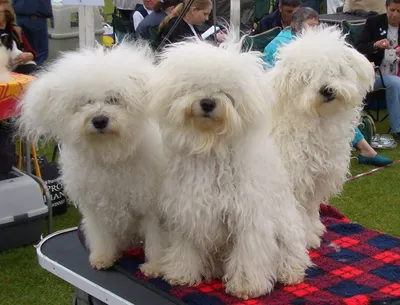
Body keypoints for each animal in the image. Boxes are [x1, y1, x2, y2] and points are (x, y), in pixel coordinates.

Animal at [18, 42, 165, 268]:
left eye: (114, 98)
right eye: (84, 102)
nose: (99, 120)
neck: (110, 155)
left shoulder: (151, 208)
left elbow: (156, 239)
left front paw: (155, 266)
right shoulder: (97, 208)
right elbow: (102, 235)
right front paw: (103, 257)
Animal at [144, 36, 312, 298]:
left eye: (227, 93)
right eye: (194, 86)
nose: (207, 103)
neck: (211, 146)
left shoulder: (248, 218)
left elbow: (248, 256)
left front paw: (246, 286)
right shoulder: (187, 211)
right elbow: (185, 248)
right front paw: (182, 274)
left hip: (288, 230)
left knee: (293, 254)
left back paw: (290, 273)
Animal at [268, 26, 376, 248]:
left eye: (334, 70)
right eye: (306, 77)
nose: (326, 90)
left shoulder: (315, 180)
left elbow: (310, 210)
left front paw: (313, 230)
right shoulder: (295, 180)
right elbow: (299, 213)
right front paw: (305, 239)